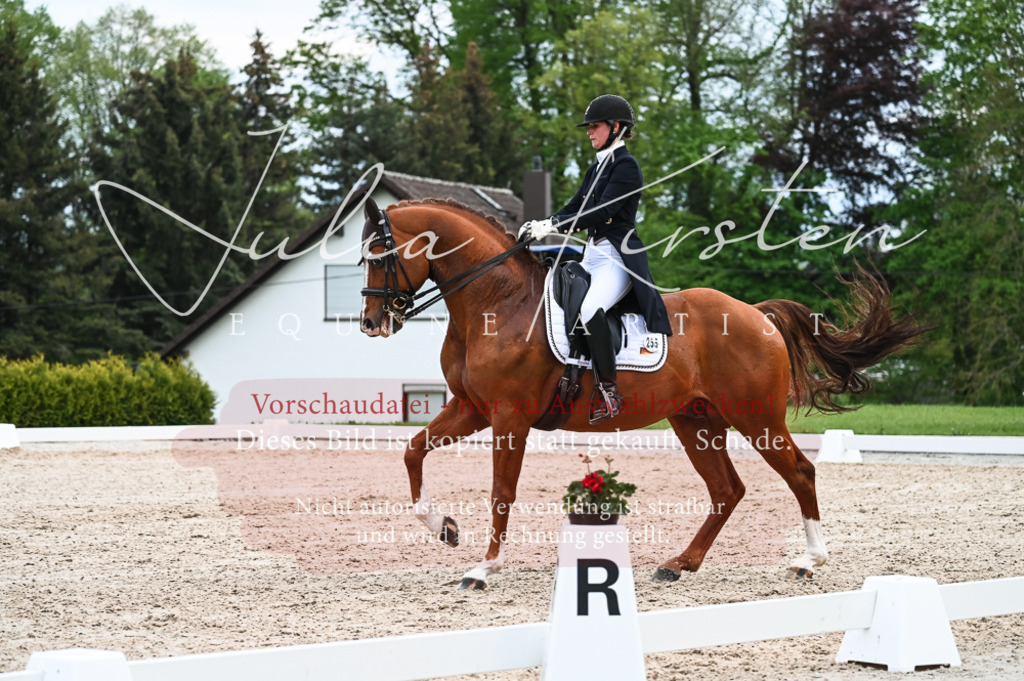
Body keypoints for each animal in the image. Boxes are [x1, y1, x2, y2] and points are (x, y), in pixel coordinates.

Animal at [357, 195, 922, 590]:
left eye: (382, 253)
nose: (371, 323)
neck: (498, 301)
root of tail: (755, 313)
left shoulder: (508, 415)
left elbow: (501, 492)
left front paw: (483, 568)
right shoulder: (471, 408)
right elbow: (412, 452)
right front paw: (444, 527)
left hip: (756, 416)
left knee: (799, 472)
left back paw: (809, 560)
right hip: (696, 420)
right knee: (727, 489)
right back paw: (679, 564)